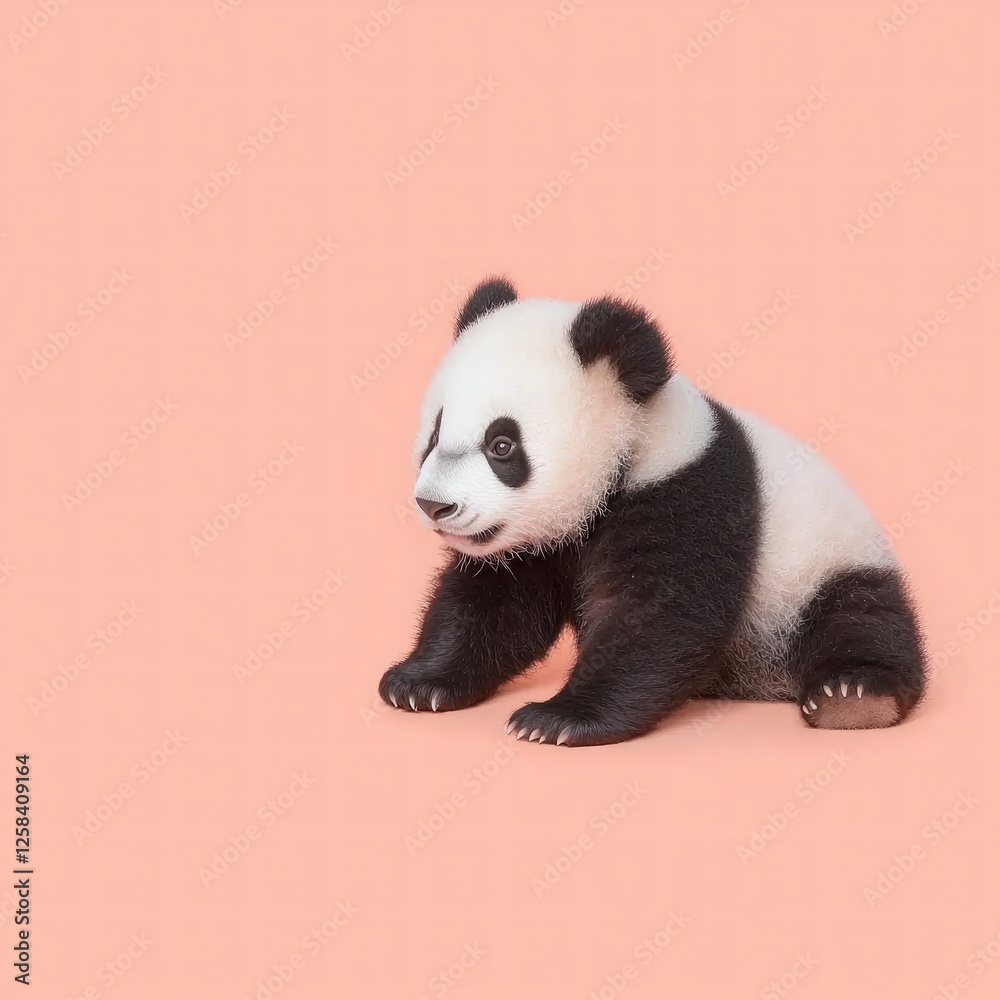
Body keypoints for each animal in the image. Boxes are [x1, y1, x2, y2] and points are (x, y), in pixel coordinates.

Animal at [378, 276, 927, 746]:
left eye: (502, 445)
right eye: (434, 433)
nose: (435, 505)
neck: (634, 443)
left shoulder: (690, 492)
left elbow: (657, 614)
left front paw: (560, 717)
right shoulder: (532, 545)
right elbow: (496, 606)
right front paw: (419, 683)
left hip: (824, 565)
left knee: (861, 619)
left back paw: (854, 697)